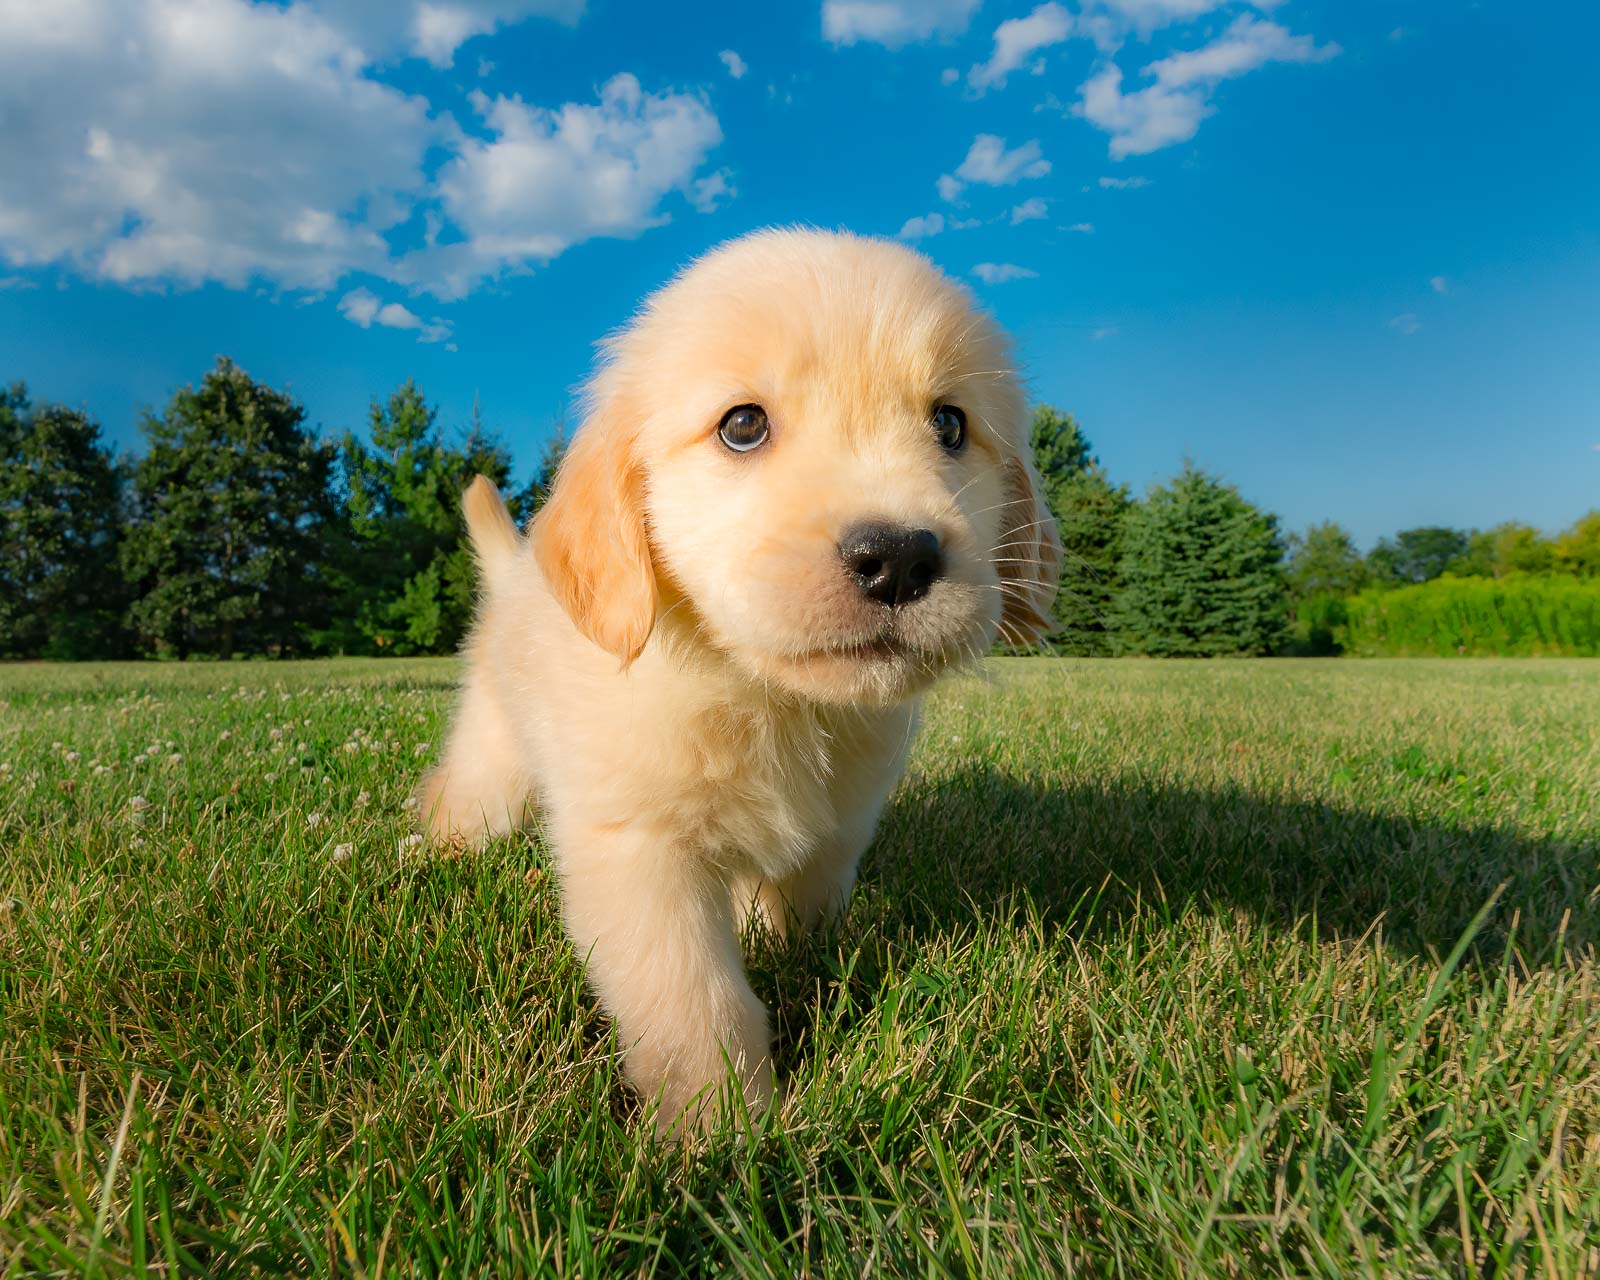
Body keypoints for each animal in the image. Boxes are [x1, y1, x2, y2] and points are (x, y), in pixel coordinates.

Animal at [422, 227, 1062, 1132]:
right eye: (744, 425)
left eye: (950, 423)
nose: (899, 558)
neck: (771, 700)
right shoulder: (640, 850)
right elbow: (694, 1000)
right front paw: (722, 1127)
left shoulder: (838, 825)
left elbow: (801, 910)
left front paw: (786, 956)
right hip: (493, 754)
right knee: (459, 798)